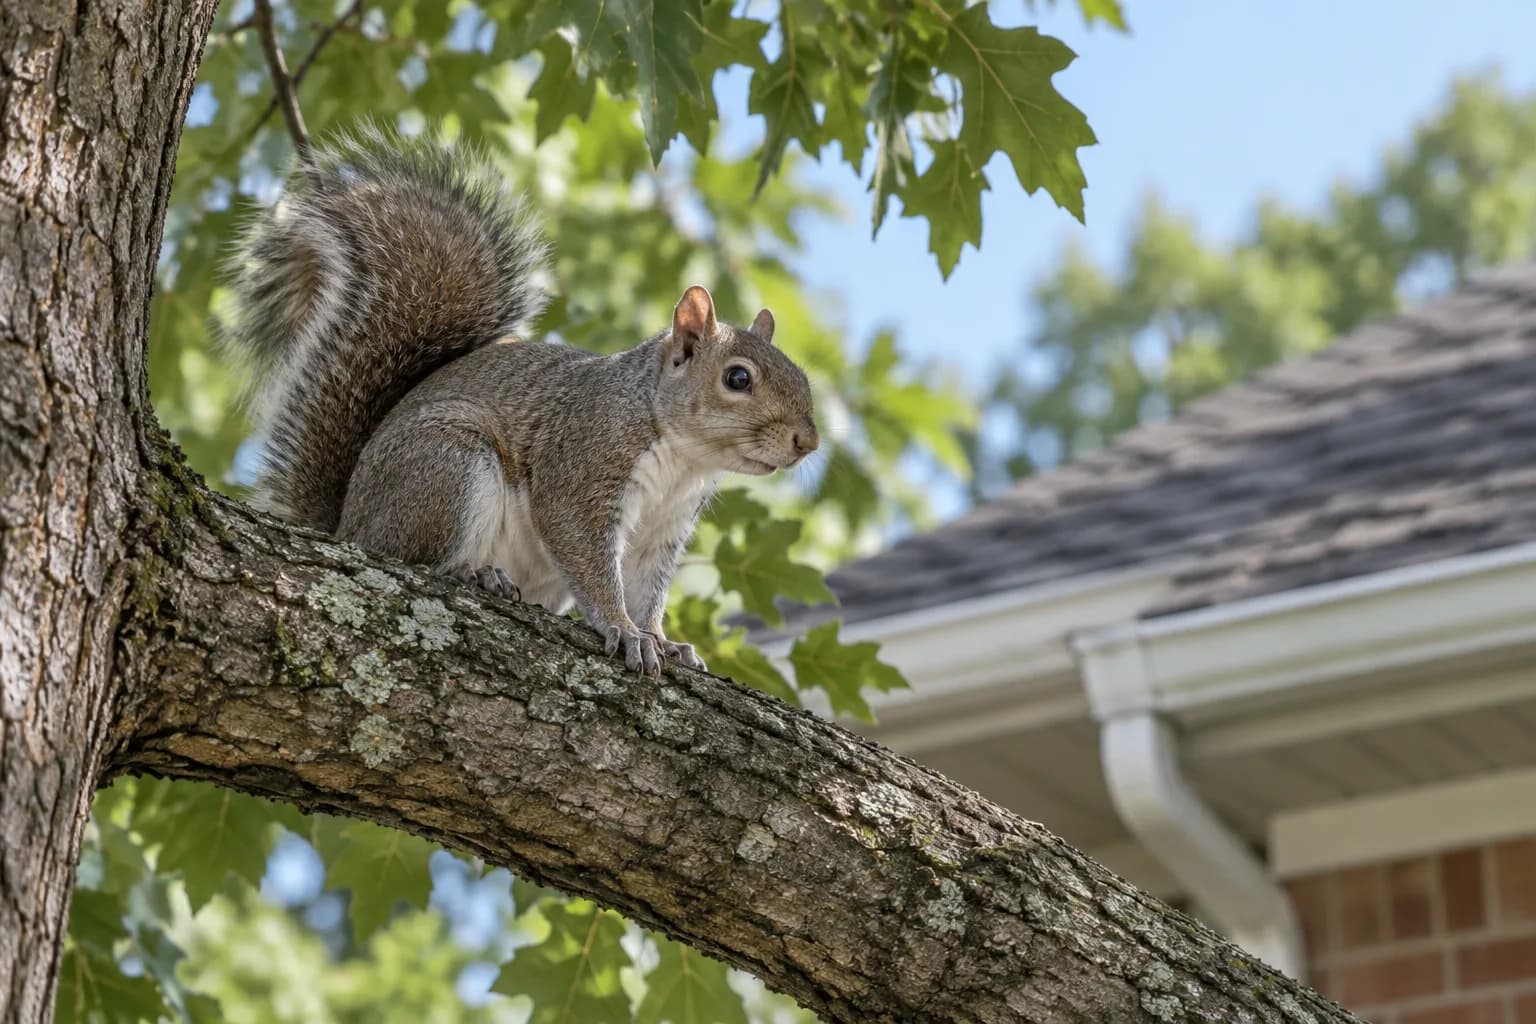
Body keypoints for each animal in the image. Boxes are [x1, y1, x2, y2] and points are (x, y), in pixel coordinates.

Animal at [226, 131, 819, 677]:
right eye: (737, 378)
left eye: (802, 375)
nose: (808, 441)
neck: (683, 457)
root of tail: (347, 525)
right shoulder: (582, 464)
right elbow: (584, 553)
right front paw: (624, 631)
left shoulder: (664, 528)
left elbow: (647, 589)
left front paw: (661, 638)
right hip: (447, 468)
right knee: (411, 558)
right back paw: (473, 573)